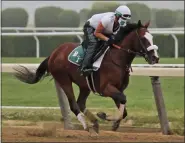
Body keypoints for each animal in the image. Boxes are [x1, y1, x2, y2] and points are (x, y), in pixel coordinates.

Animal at [13, 20, 160, 134]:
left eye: (152, 37)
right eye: (143, 39)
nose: (155, 58)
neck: (117, 58)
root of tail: (54, 53)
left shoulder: (118, 89)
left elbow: (124, 109)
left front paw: (113, 123)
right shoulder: (106, 88)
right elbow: (123, 101)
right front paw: (104, 115)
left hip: (85, 85)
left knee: (80, 102)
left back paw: (94, 122)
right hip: (63, 79)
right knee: (73, 105)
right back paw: (86, 126)